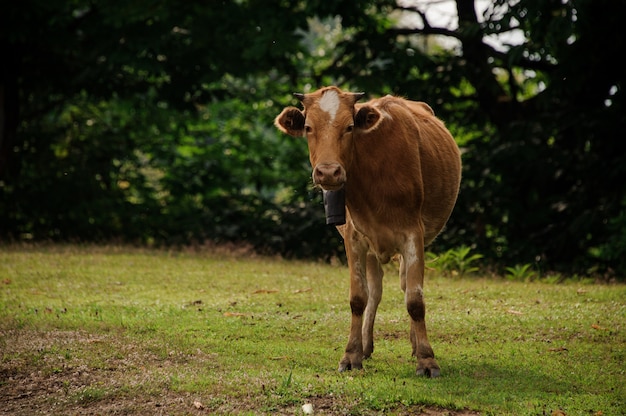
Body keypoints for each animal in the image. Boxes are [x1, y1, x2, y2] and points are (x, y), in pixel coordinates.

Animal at [272, 85, 458, 376]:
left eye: (349, 127)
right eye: (309, 128)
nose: (328, 173)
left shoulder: (413, 235)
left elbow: (415, 300)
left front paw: (426, 359)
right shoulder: (354, 238)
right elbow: (359, 298)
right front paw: (351, 354)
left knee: (404, 286)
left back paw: (414, 344)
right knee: (375, 290)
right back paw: (365, 345)